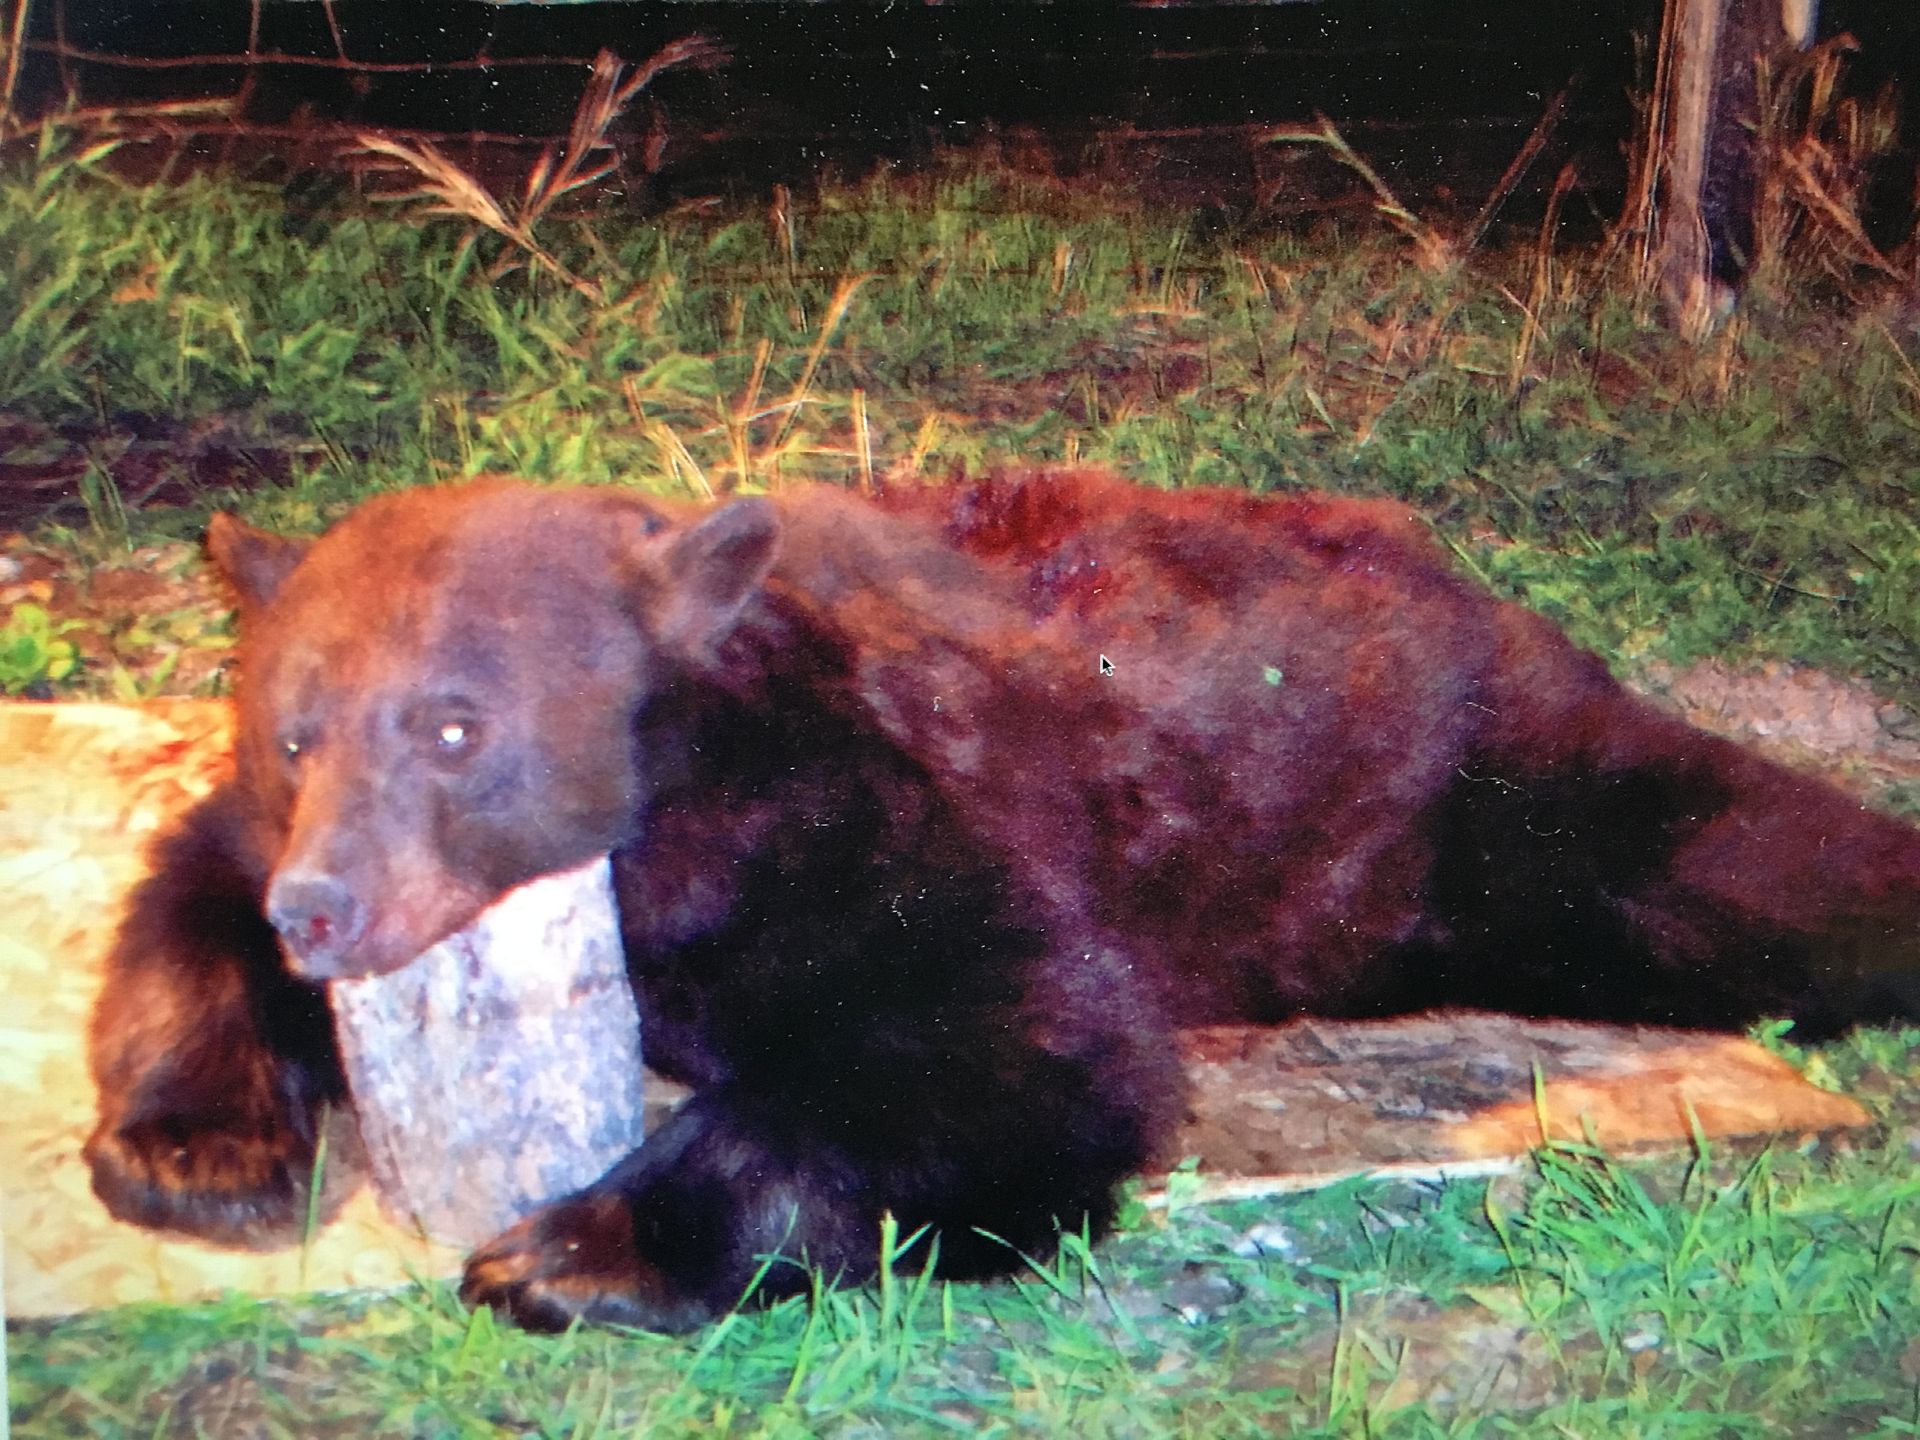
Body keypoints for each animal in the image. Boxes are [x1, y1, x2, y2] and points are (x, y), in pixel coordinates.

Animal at [85, 468, 1920, 1333]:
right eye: (293, 726)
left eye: (456, 723)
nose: (327, 910)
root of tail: (1452, 564)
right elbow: (187, 891)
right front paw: (195, 1149)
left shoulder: (869, 808)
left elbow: (1025, 1042)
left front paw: (577, 1246)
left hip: (1480, 791)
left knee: (1734, 855)